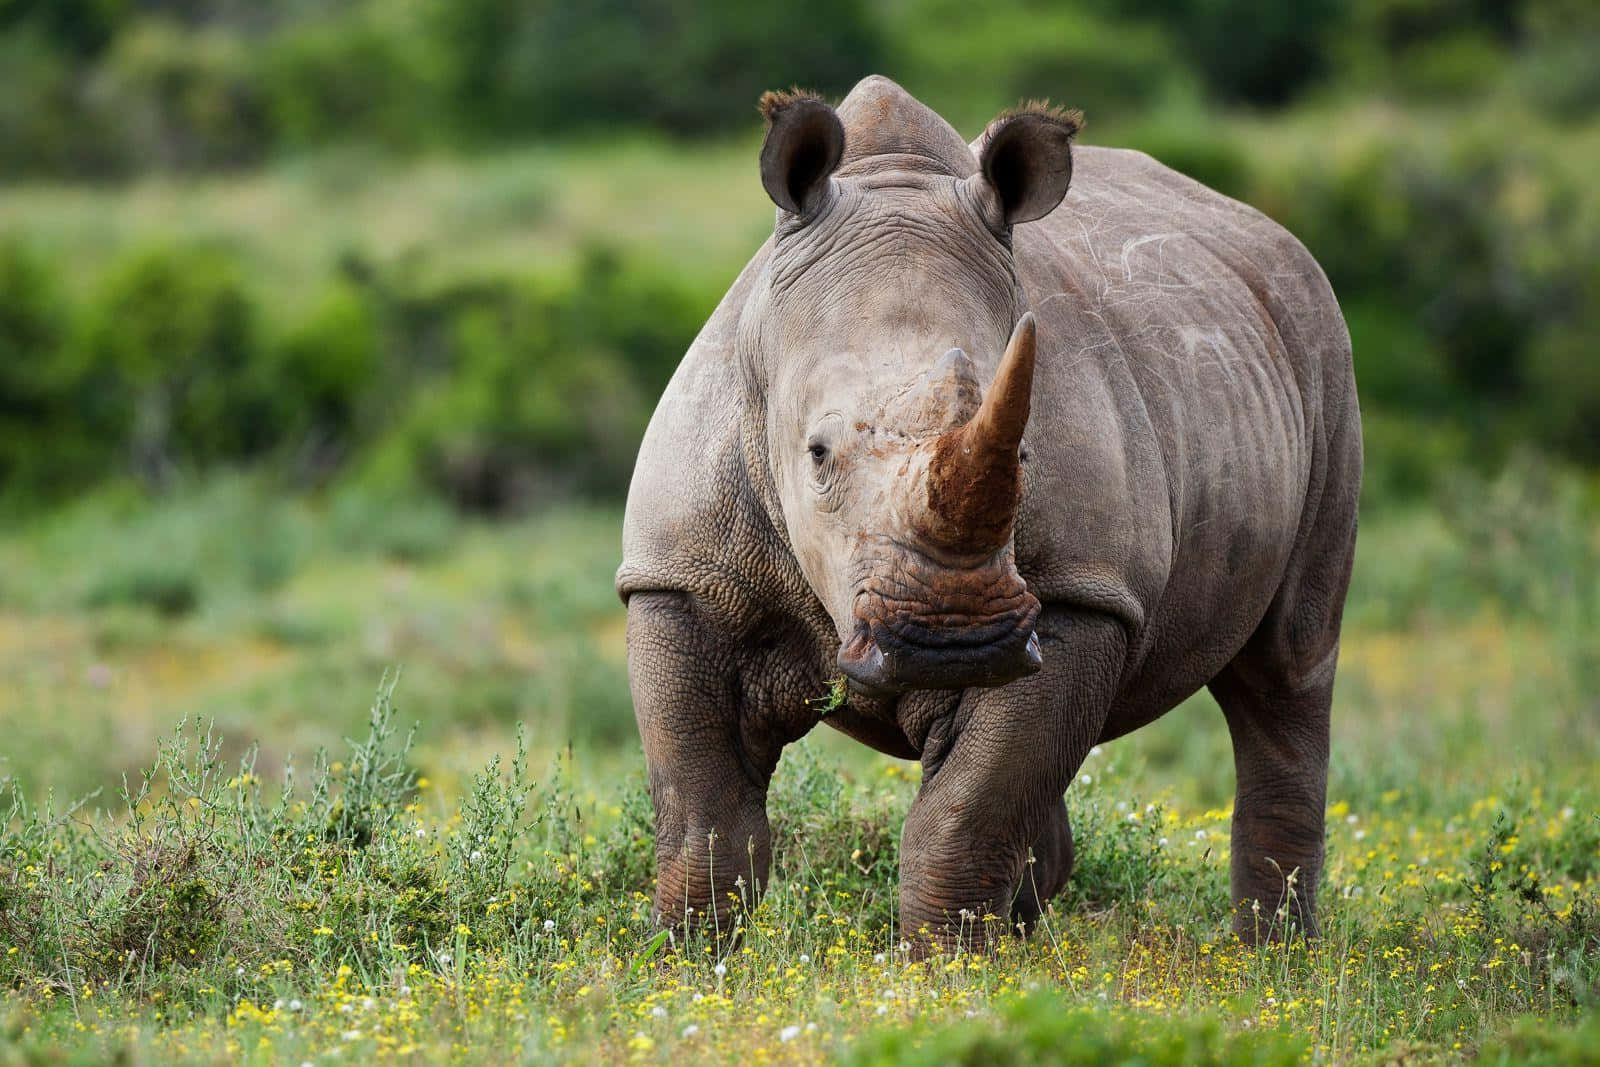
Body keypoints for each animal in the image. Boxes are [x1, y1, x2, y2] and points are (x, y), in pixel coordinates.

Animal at [617, 75, 1360, 950]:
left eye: (1026, 457)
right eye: (817, 453)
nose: (952, 640)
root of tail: (1270, 235)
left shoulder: (1081, 595)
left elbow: (969, 813)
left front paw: (942, 968)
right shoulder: (679, 575)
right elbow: (702, 812)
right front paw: (693, 959)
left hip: (1324, 353)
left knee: (1285, 671)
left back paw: (1270, 963)